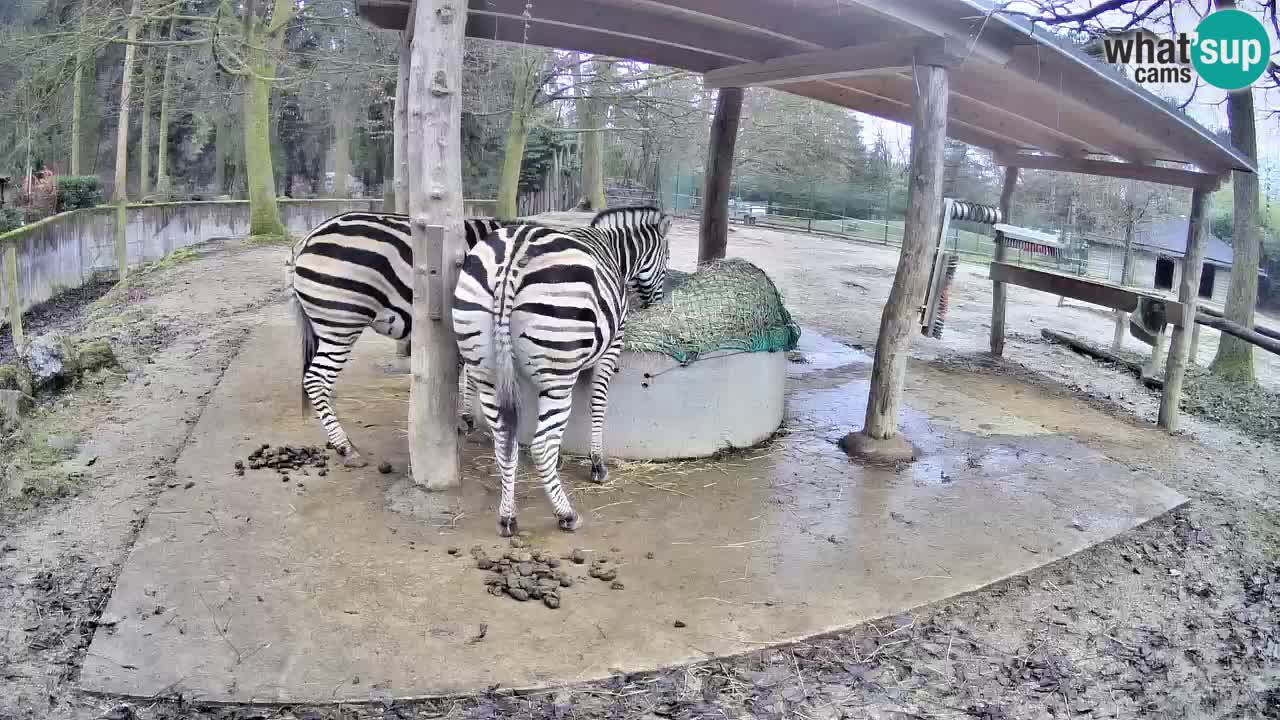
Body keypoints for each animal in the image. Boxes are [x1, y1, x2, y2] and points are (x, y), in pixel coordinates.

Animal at [452, 206, 672, 536]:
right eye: (667, 259)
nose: (656, 304)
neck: (613, 249)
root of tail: (513, 256)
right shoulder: (612, 345)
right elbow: (598, 403)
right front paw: (597, 463)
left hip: (486, 366)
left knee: (504, 439)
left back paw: (507, 516)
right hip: (557, 375)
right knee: (541, 446)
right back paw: (565, 514)